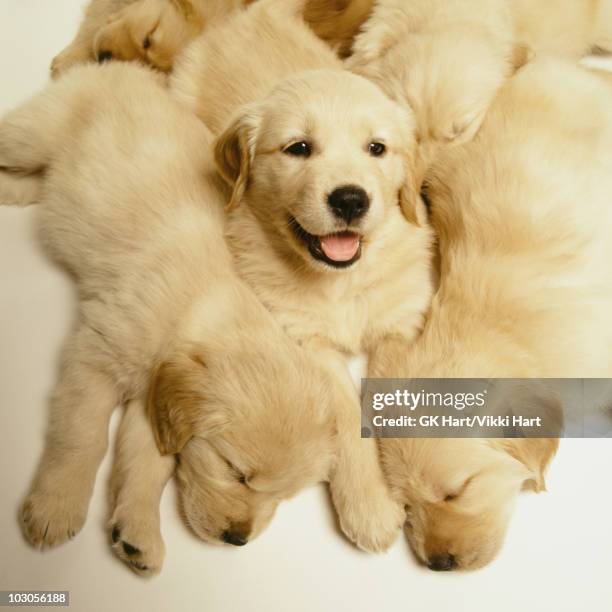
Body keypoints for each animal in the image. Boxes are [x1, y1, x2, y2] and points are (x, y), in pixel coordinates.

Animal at [0, 62, 338, 572]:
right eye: (236, 472)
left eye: (282, 497)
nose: (237, 540)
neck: (201, 309)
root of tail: (121, 68)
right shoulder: (95, 357)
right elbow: (82, 434)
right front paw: (56, 507)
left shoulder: (153, 402)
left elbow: (147, 465)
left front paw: (137, 532)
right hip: (33, 133)